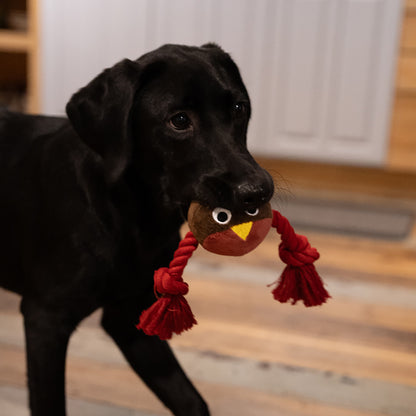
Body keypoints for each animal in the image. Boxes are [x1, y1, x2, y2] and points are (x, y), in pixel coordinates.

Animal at [0, 44, 272, 414]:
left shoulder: (129, 318)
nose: (258, 191)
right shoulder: (46, 319)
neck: (134, 219)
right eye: (179, 120)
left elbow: (191, 400)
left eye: (239, 108)